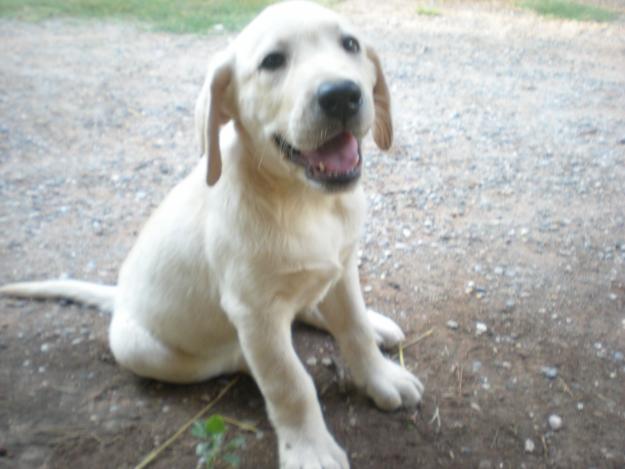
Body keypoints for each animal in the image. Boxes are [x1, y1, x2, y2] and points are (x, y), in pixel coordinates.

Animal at [1, 1, 424, 466]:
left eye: (349, 44)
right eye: (272, 61)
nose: (342, 94)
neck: (303, 202)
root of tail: (119, 297)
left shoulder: (344, 266)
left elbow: (354, 329)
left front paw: (381, 377)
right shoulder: (253, 311)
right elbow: (289, 383)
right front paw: (309, 449)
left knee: (312, 306)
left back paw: (374, 323)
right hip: (142, 348)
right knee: (246, 356)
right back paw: (244, 358)